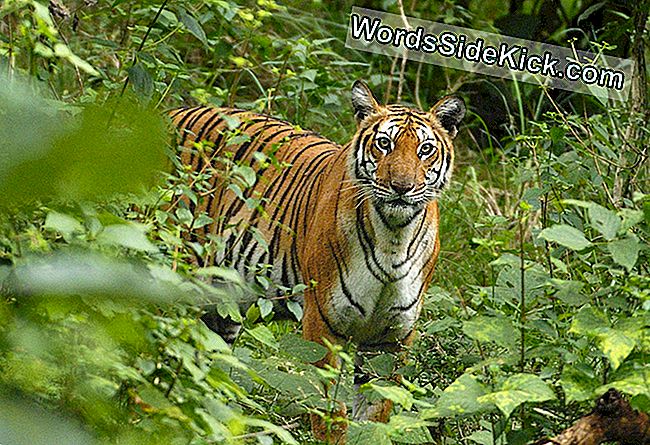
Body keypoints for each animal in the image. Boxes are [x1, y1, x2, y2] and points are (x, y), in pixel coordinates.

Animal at [170, 80, 464, 444]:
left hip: (222, 305)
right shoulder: (323, 322)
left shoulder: (392, 338)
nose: (401, 187)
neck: (393, 237)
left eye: (425, 149)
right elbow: (329, 412)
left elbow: (375, 414)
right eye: (384, 143)